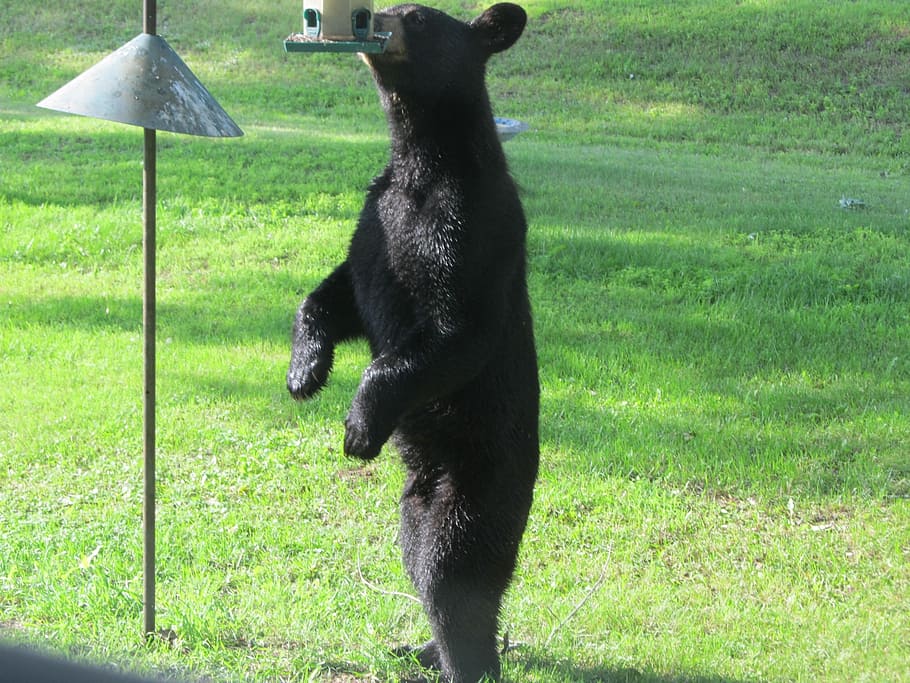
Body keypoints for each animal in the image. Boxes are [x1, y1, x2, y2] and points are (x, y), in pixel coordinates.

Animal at [286, 4, 537, 681]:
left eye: (416, 17)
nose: (372, 20)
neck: (424, 165)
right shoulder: (377, 216)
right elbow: (339, 294)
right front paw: (304, 373)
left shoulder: (470, 227)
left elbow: (455, 330)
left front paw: (358, 427)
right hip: (416, 500)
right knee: (421, 560)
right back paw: (421, 649)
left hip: (477, 485)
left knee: (453, 574)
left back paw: (465, 661)